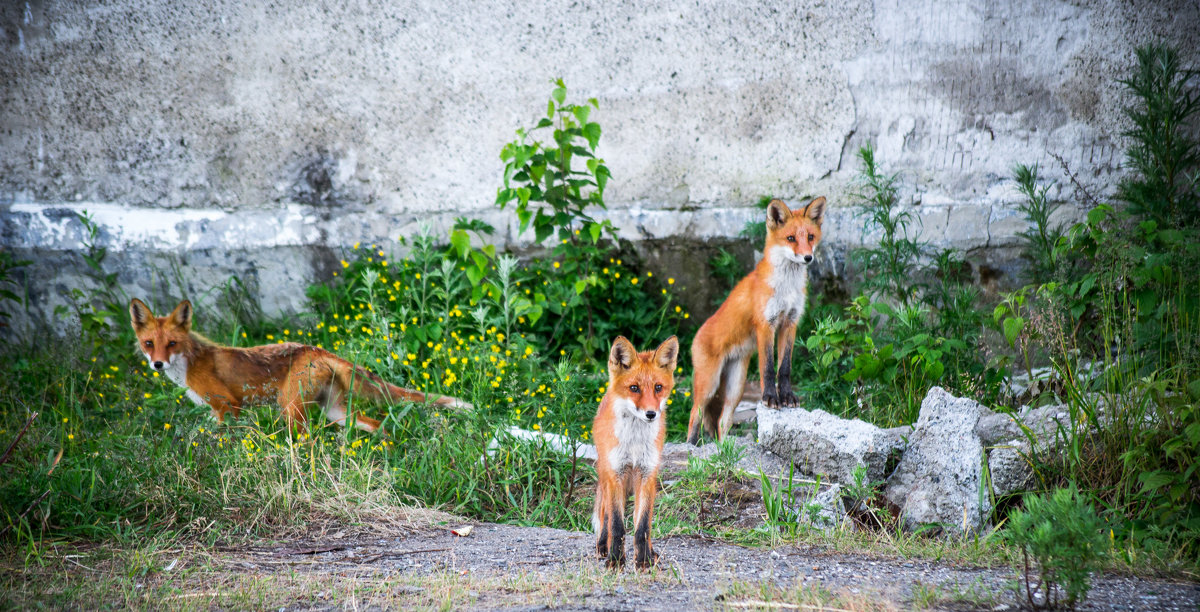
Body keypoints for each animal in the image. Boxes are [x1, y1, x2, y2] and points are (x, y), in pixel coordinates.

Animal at [130, 298, 468, 432]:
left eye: (171, 343)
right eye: (149, 343)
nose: (158, 364)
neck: (191, 362)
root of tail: (316, 348)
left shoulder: (228, 406)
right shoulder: (217, 412)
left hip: (290, 407)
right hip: (334, 409)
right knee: (375, 423)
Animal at [590, 333, 676, 568]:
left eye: (658, 387)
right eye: (634, 388)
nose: (651, 414)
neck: (635, 444)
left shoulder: (647, 474)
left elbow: (643, 527)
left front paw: (644, 561)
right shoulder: (616, 474)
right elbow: (617, 525)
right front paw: (615, 561)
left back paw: (651, 553)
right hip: (606, 477)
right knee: (606, 517)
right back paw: (603, 547)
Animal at [686, 198, 825, 441]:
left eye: (810, 236)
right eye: (790, 238)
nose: (808, 257)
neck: (786, 288)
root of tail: (697, 334)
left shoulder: (790, 323)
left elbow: (784, 368)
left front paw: (787, 396)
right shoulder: (765, 325)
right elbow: (768, 367)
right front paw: (771, 398)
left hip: (736, 386)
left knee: (722, 421)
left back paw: (724, 447)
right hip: (709, 384)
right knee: (695, 415)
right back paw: (691, 446)